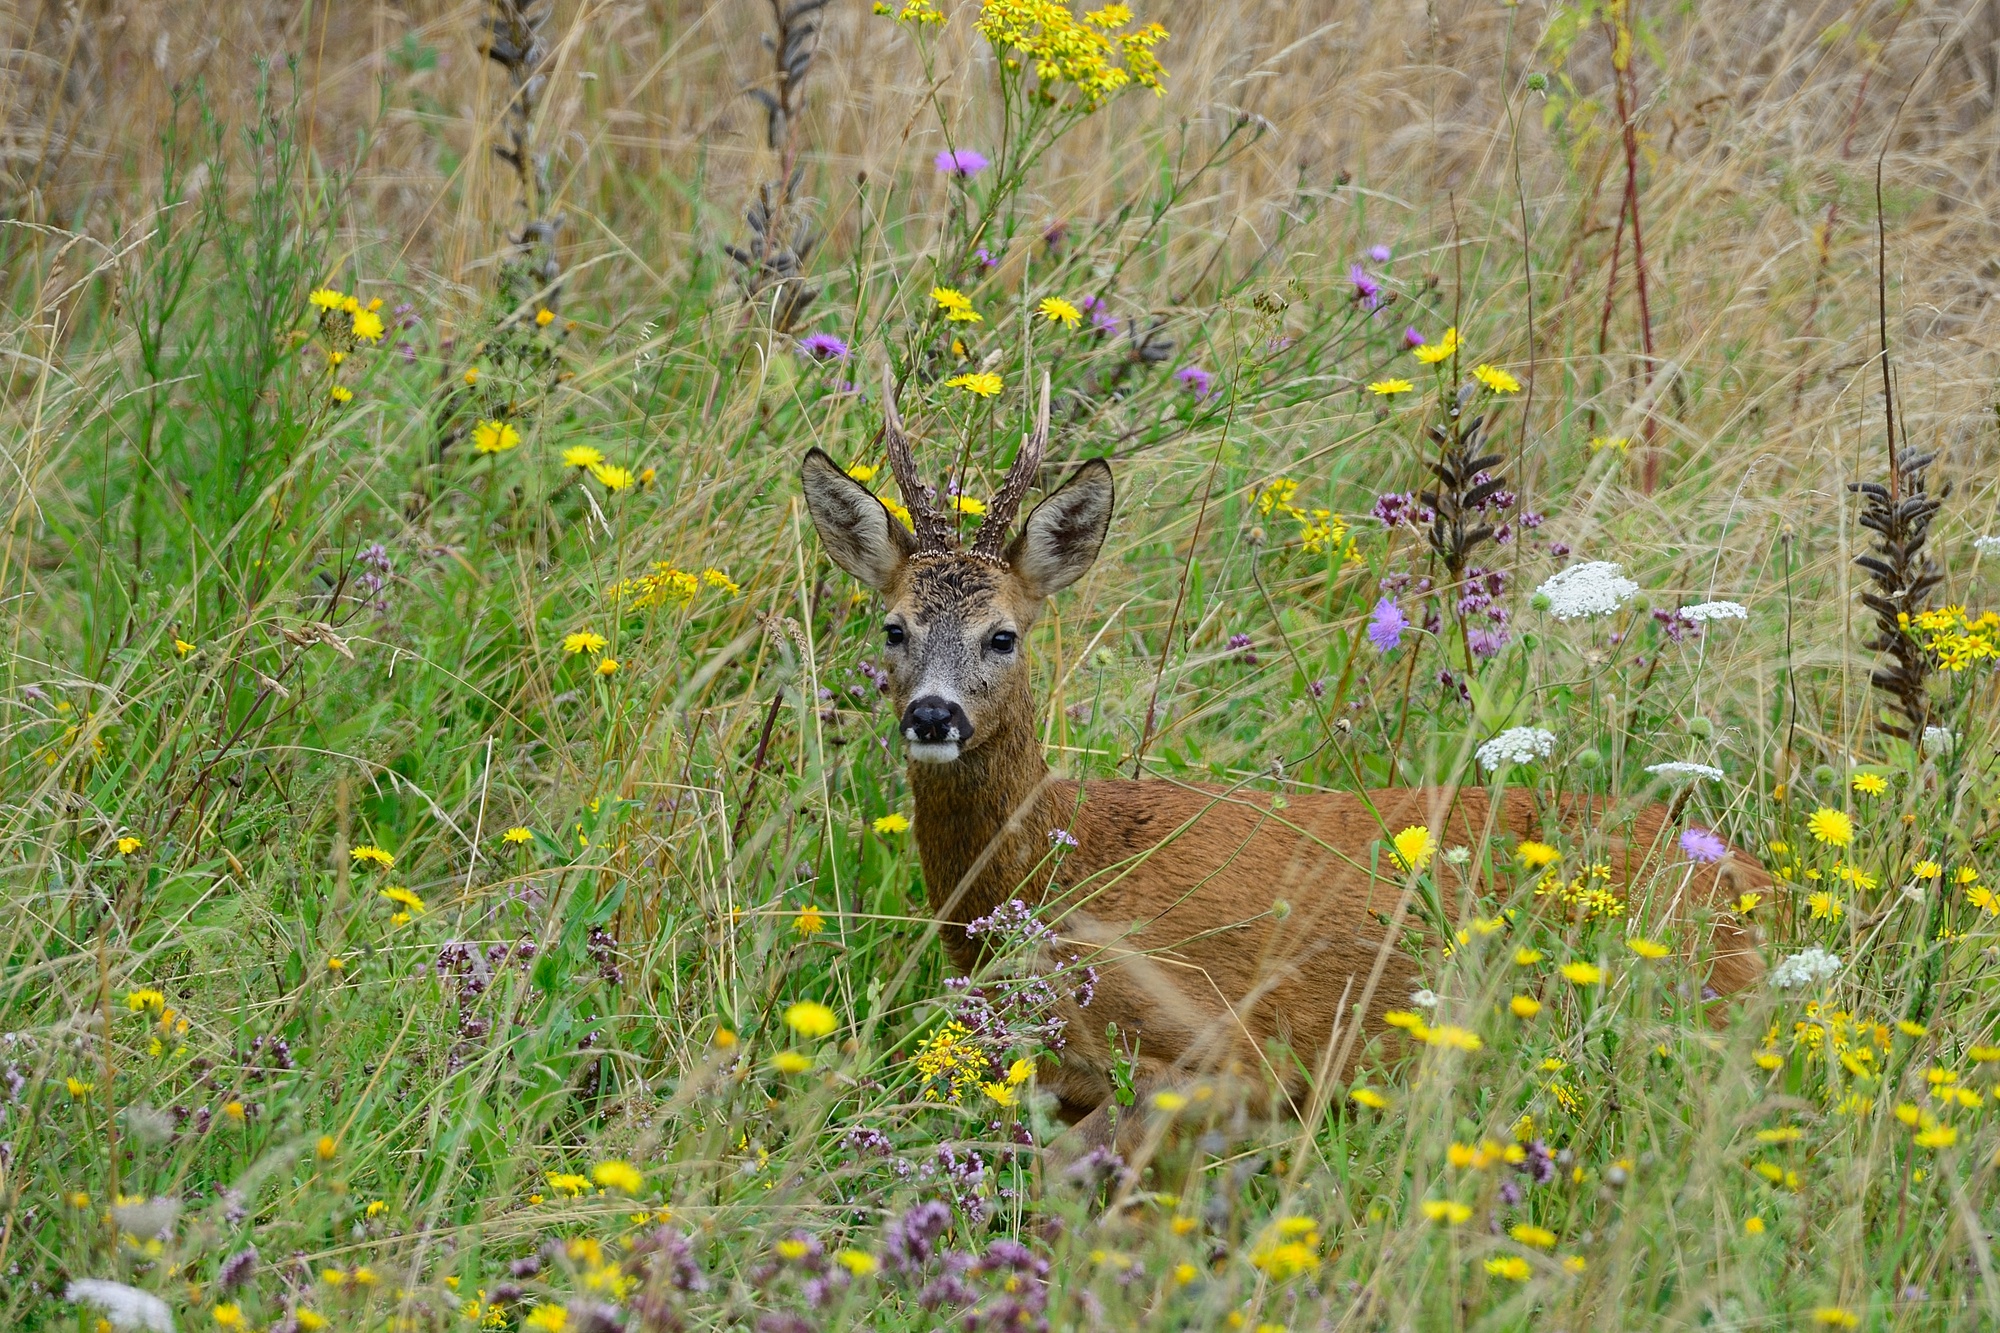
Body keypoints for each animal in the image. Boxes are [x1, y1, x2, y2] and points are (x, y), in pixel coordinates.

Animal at [799, 373, 1768, 1156]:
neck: (1058, 865)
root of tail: (1756, 881)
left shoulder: (1230, 1040)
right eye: (894, 628)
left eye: (1002, 635)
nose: (932, 714)